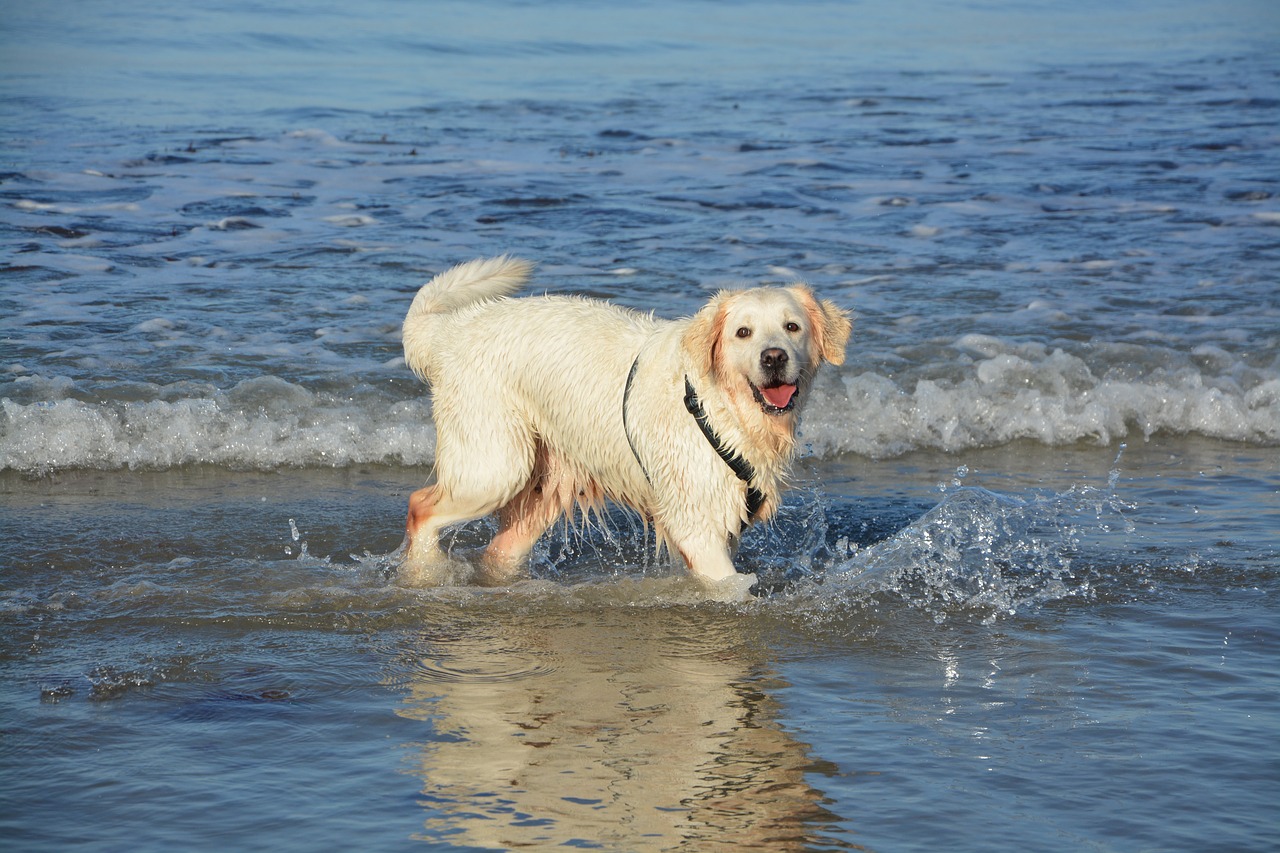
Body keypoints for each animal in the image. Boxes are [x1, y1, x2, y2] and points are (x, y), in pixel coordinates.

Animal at [399, 256, 849, 594]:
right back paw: (425, 573)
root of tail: (449, 331)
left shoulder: (726, 518)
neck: (721, 407)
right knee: (421, 506)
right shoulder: (696, 521)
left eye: (792, 326)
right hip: (496, 465)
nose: (773, 357)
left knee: (498, 549)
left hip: (547, 483)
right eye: (743, 332)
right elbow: (728, 584)